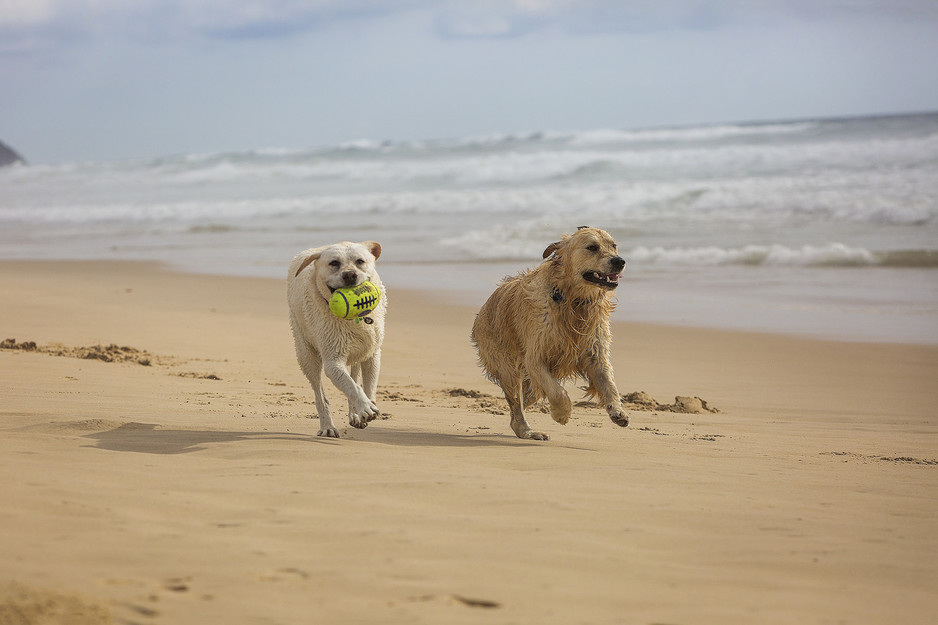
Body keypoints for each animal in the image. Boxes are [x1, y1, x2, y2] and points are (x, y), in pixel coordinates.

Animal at [288, 241, 386, 436]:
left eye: (360, 261)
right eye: (334, 263)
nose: (350, 274)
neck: (353, 320)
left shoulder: (372, 355)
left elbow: (367, 385)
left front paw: (367, 405)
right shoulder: (333, 362)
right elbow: (352, 386)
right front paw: (365, 407)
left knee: (355, 374)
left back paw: (355, 415)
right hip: (306, 353)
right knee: (320, 394)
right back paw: (328, 426)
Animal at [468, 225, 628, 438]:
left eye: (614, 246)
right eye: (592, 247)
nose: (619, 261)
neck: (573, 301)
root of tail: (481, 311)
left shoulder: (595, 351)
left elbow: (609, 383)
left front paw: (618, 411)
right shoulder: (535, 357)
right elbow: (557, 391)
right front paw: (562, 413)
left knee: (524, 400)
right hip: (507, 366)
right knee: (516, 405)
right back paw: (528, 431)